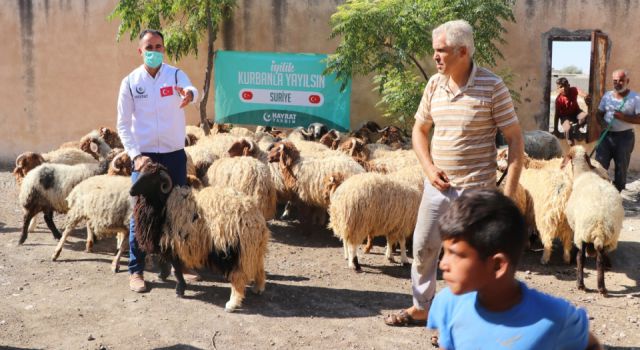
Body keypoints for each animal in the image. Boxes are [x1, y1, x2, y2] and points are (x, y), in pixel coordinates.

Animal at [130, 162, 270, 312]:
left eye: (152, 178)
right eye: (141, 173)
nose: (131, 191)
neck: (165, 202)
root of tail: (254, 216)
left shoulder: (174, 243)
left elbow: (177, 268)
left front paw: (180, 290)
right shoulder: (170, 243)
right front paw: (163, 275)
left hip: (232, 249)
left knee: (238, 277)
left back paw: (232, 304)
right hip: (253, 248)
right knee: (259, 267)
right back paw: (258, 288)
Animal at [564, 146, 624, 296]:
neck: (583, 174)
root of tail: (599, 226)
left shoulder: (576, 229)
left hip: (582, 233)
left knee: (581, 257)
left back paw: (580, 284)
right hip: (608, 236)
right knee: (600, 259)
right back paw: (601, 287)